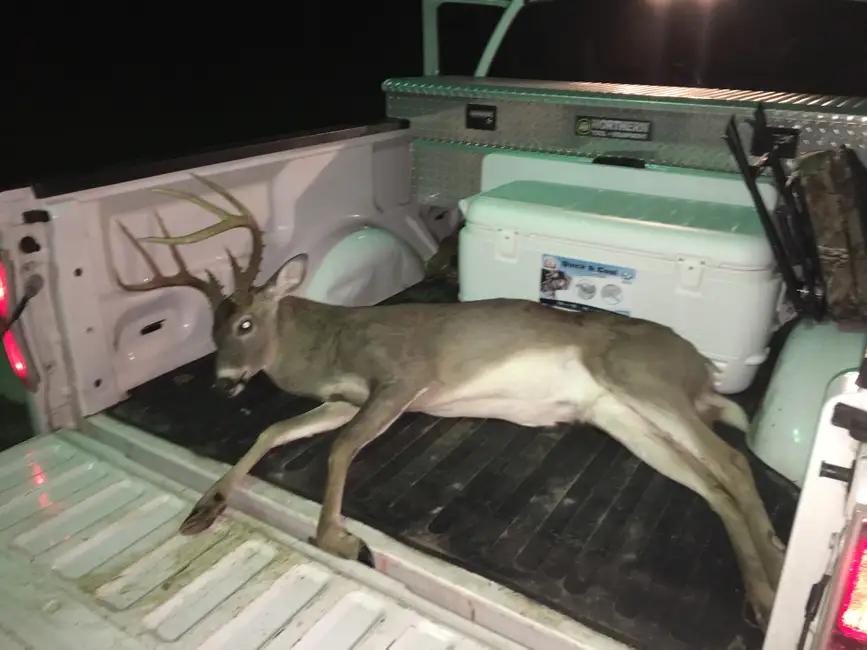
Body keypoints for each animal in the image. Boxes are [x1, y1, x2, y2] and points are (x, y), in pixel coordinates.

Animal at [111, 174, 786, 629]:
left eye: (247, 323)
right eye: (213, 331)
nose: (223, 381)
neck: (331, 345)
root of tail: (700, 368)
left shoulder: (401, 379)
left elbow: (341, 449)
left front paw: (342, 540)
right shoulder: (346, 398)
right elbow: (273, 433)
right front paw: (206, 507)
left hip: (641, 379)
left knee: (732, 462)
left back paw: (773, 581)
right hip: (620, 416)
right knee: (712, 483)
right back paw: (764, 586)